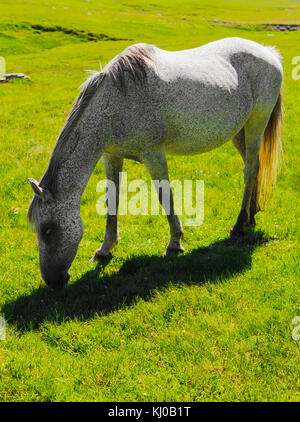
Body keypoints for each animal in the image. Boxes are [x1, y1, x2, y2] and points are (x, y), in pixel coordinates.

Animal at [27, 38, 282, 288]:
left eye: (47, 230)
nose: (53, 281)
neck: (118, 101)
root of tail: (269, 52)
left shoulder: (153, 155)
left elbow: (165, 196)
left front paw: (174, 243)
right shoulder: (111, 156)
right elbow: (112, 200)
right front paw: (105, 249)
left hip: (256, 125)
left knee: (250, 169)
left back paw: (239, 223)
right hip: (239, 132)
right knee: (255, 167)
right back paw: (251, 213)